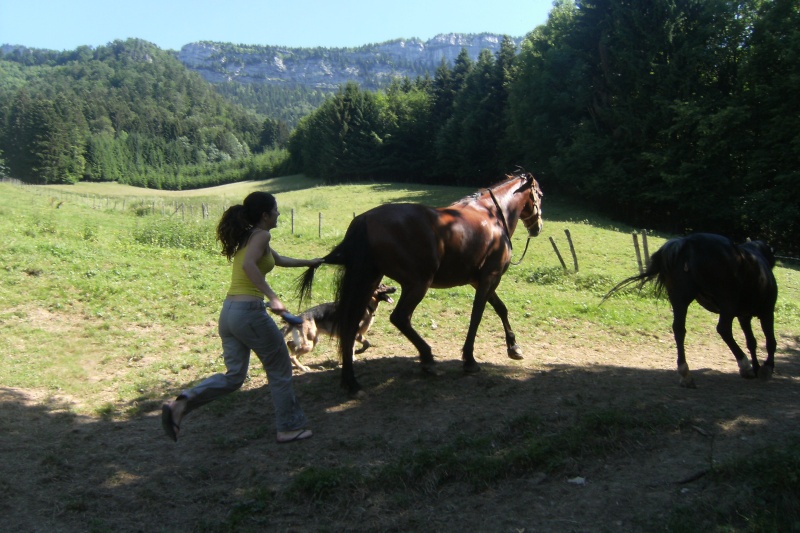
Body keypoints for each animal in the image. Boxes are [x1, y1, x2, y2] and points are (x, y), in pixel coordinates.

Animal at [300, 171, 544, 394]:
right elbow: (477, 316)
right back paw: (427, 359)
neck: (491, 215)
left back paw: (351, 381)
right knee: (400, 318)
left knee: (351, 324)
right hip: (417, 284)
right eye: (540, 195)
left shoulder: (481, 281)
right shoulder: (489, 278)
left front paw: (514, 347)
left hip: (368, 282)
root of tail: (365, 220)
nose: (538, 227)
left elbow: (501, 309)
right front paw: (470, 359)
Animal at [604, 233, 780, 386]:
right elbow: (770, 341)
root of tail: (688, 242)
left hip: (680, 300)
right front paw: (766, 367)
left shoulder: (744, 317)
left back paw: (685, 374)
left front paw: (757, 367)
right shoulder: (766, 312)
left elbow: (752, 342)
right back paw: (744, 365)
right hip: (727, 303)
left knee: (679, 329)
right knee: (723, 329)